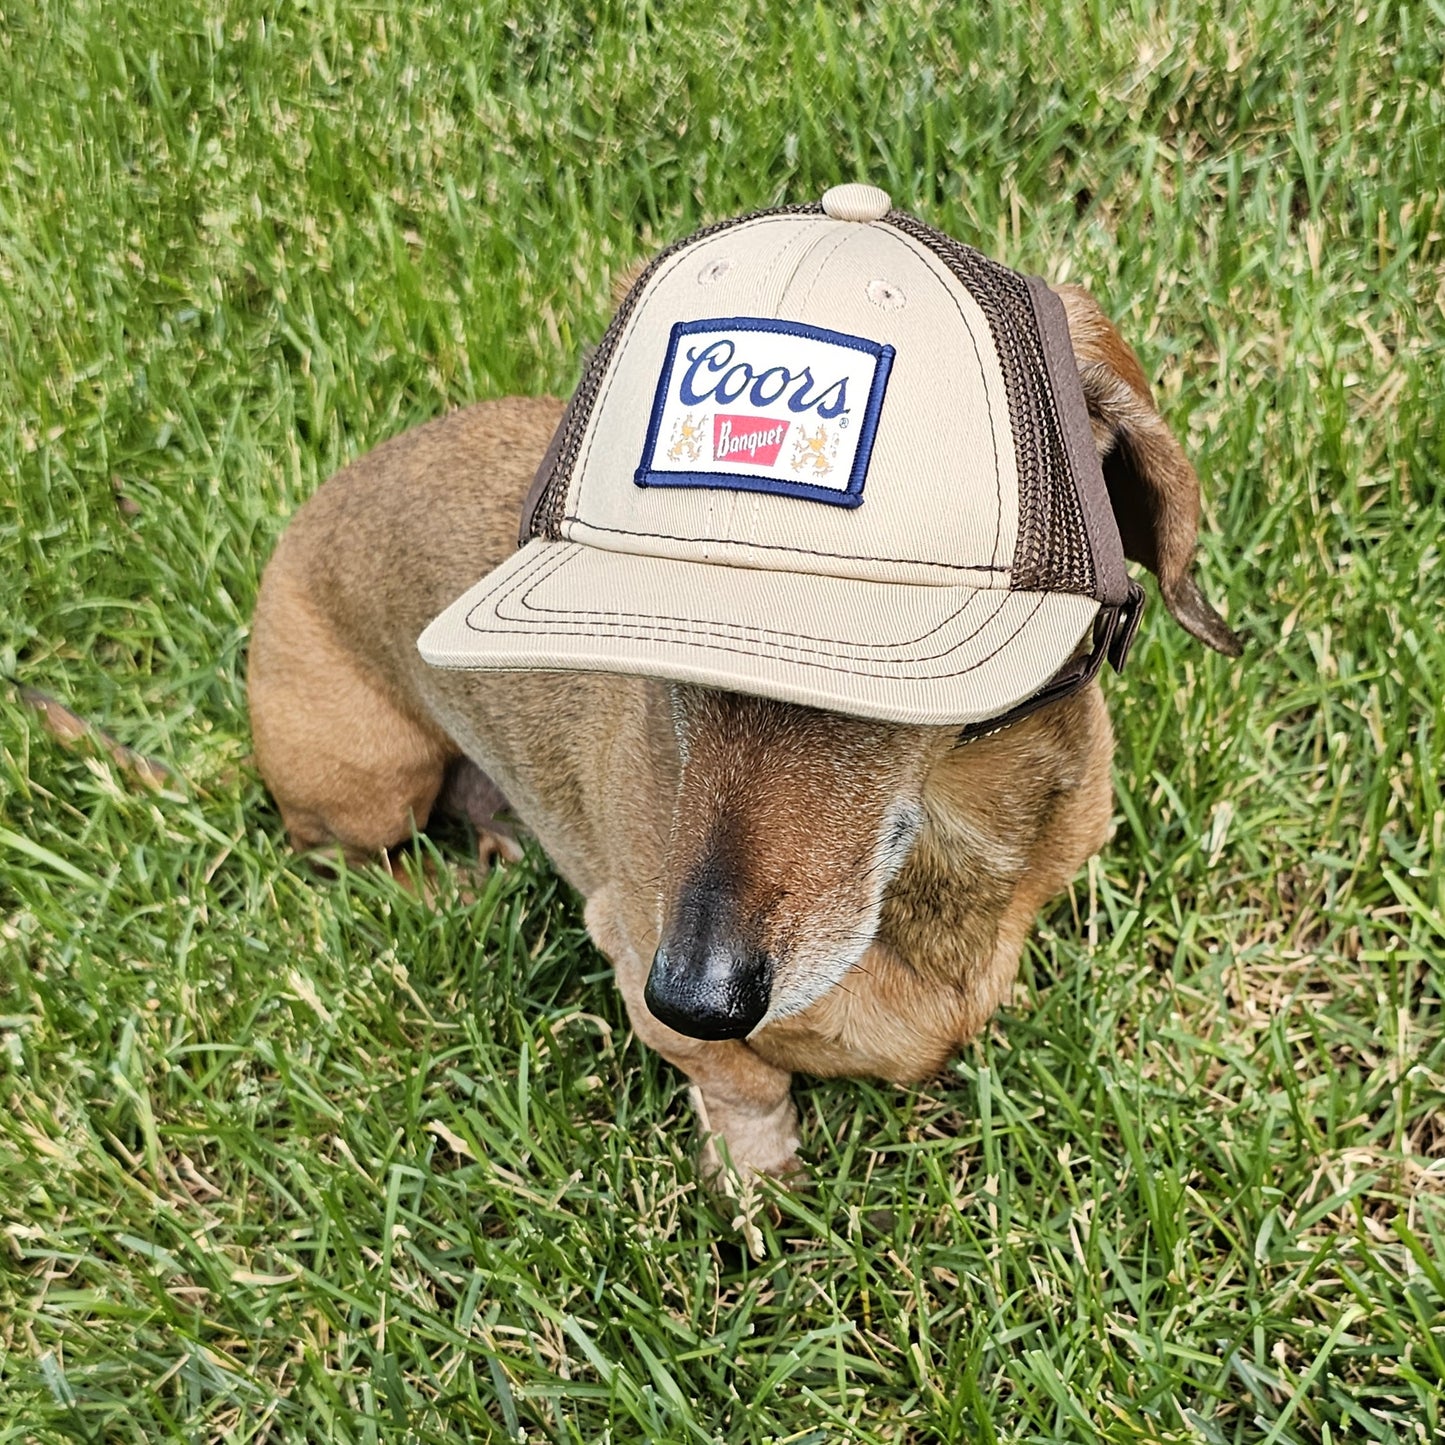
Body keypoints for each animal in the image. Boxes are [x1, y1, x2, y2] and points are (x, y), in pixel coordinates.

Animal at [248, 251, 1242, 1184]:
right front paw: (760, 1182)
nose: (689, 992)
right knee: (340, 851)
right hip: (374, 781)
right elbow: (745, 1083)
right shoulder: (629, 949)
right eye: (646, 638)